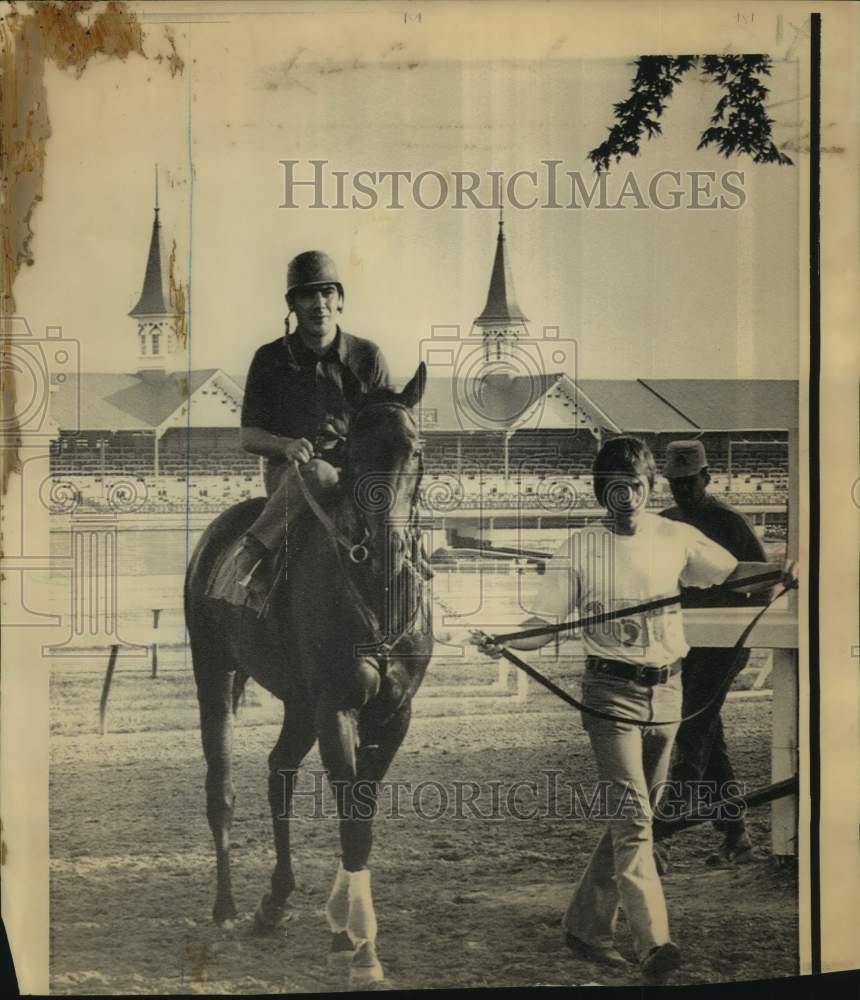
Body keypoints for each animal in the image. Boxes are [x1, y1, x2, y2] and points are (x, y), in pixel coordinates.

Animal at [186, 366, 434, 984]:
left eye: (415, 448)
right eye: (352, 451)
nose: (387, 546)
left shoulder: (393, 714)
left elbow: (362, 815)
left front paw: (346, 930)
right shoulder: (336, 708)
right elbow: (352, 821)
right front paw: (360, 948)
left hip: (299, 703)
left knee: (280, 772)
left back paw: (275, 902)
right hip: (215, 675)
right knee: (222, 789)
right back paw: (227, 908)